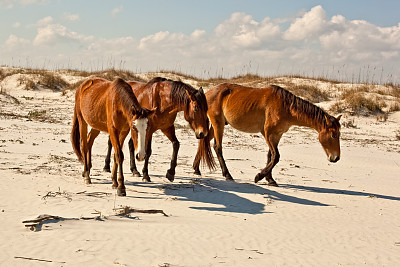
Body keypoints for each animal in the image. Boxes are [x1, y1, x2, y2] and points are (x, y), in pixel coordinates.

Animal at [193, 83, 340, 186]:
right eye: (333, 135)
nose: (336, 158)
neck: (286, 106)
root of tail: (208, 93)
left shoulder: (277, 135)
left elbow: (271, 156)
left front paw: (270, 179)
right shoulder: (268, 133)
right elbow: (276, 157)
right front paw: (259, 176)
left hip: (219, 125)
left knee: (204, 141)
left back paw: (196, 168)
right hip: (218, 124)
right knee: (217, 147)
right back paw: (227, 175)